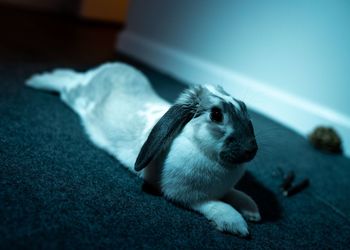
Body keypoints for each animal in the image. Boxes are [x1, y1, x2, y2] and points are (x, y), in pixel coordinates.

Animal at [26, 62, 260, 236]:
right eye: (216, 115)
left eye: (243, 107)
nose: (252, 150)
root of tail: (98, 72)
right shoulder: (187, 196)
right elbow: (216, 205)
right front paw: (236, 224)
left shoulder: (225, 189)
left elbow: (237, 194)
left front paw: (253, 211)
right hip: (74, 94)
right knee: (67, 85)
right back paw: (38, 80)